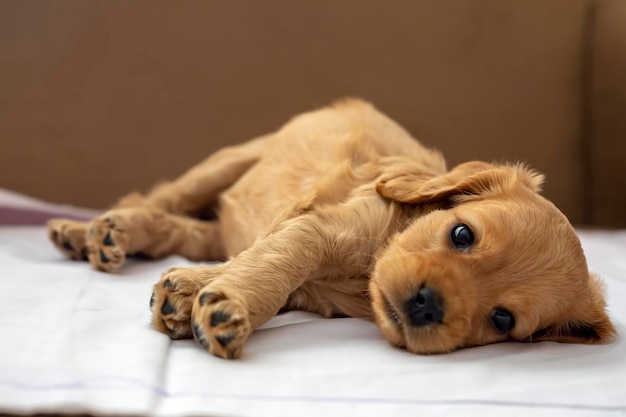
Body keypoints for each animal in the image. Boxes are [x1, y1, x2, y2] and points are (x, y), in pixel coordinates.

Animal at [50, 98, 616, 358]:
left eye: (502, 320)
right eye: (462, 235)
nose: (426, 305)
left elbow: (255, 263)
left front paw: (191, 290)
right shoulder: (318, 226)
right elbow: (277, 261)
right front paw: (224, 305)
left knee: (183, 231)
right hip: (228, 160)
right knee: (160, 197)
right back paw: (88, 232)